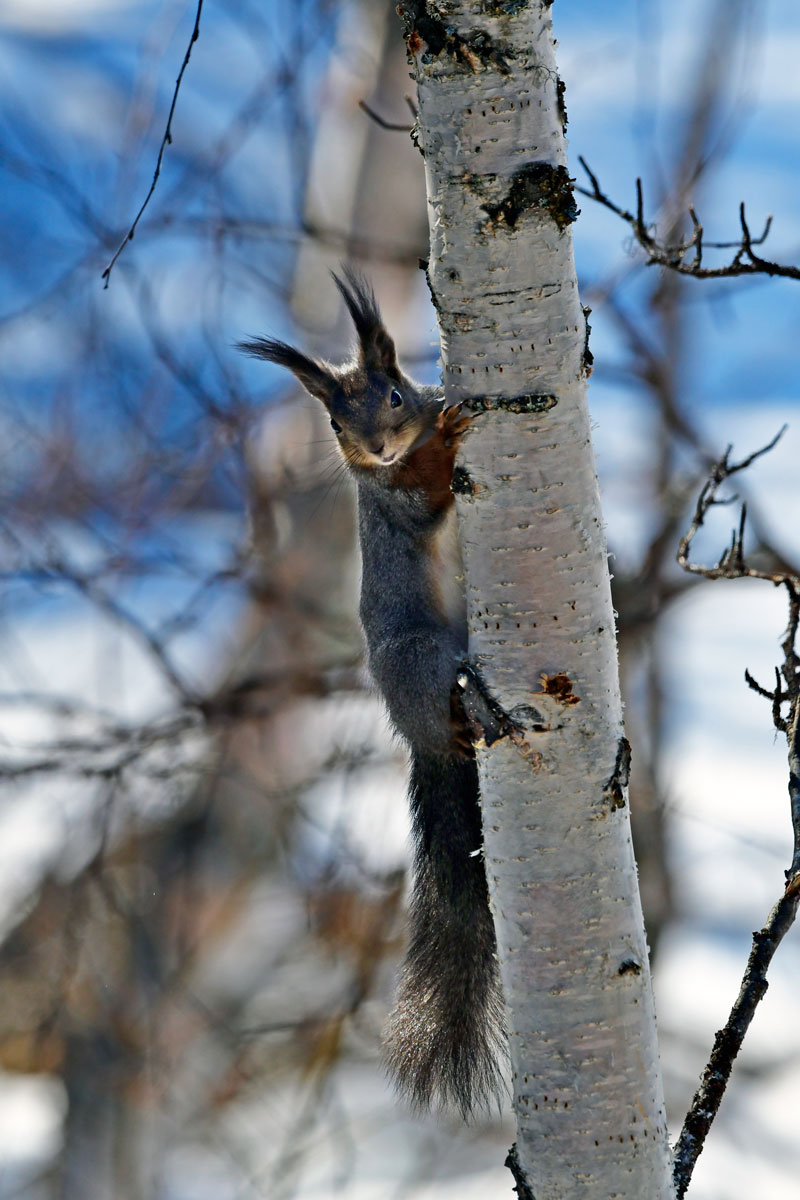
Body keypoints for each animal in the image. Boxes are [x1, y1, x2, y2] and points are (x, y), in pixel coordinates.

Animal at [239, 268, 505, 1118]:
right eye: (333, 417)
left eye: (392, 394)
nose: (378, 445)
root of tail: (425, 739)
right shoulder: (393, 500)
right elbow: (423, 494)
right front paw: (449, 435)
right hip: (419, 658)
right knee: (448, 684)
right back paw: (467, 699)